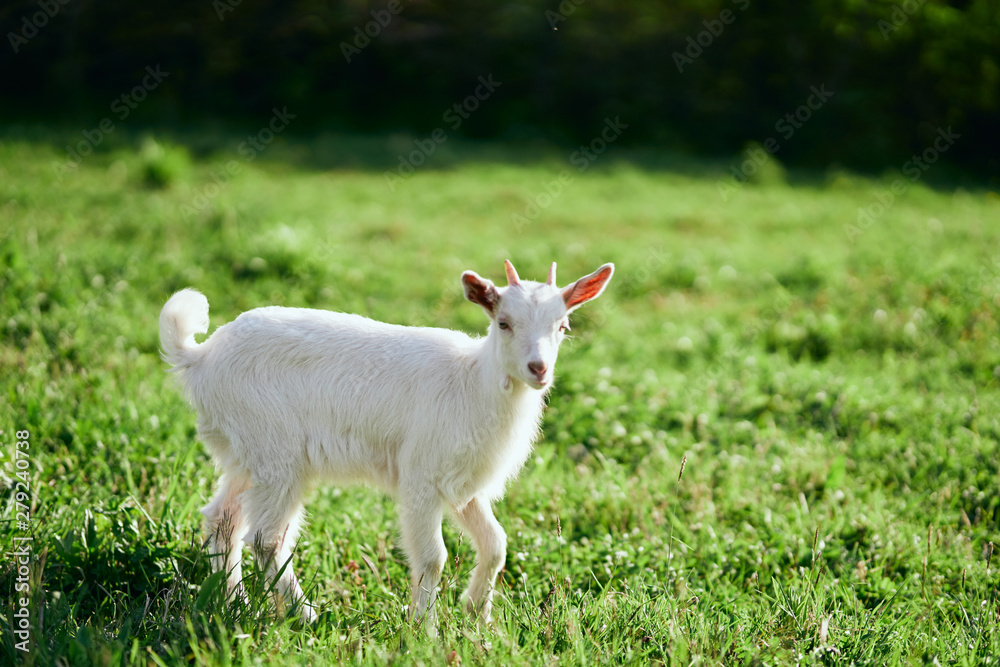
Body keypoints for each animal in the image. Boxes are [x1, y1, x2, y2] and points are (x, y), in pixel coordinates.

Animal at [160, 260, 612, 628]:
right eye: (503, 322)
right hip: (277, 452)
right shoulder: (421, 477)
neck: (471, 381)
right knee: (266, 537)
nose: (539, 369)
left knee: (223, 519)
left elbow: (496, 543)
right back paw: (304, 615)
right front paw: (425, 631)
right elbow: (432, 557)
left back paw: (233, 601)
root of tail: (200, 357)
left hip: (244, 453)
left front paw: (478, 618)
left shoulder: (463, 484)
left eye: (563, 327)